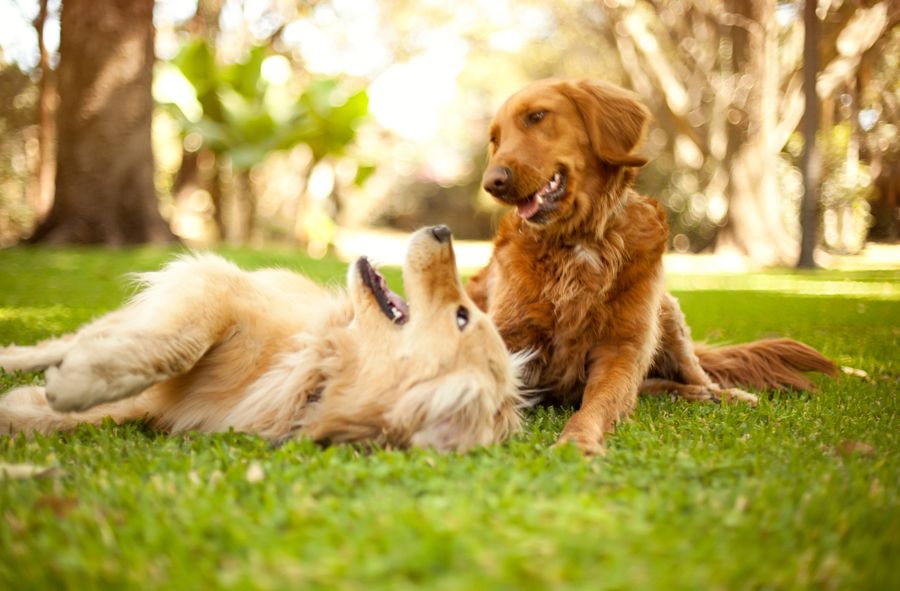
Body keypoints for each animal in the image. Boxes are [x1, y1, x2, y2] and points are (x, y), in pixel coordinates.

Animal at [468, 78, 832, 456]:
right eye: (495, 140)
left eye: (537, 116)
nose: (491, 183)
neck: (580, 241)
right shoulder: (508, 337)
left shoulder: (622, 348)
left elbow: (597, 404)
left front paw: (577, 441)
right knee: (653, 386)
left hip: (667, 314)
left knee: (693, 375)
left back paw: (722, 394)